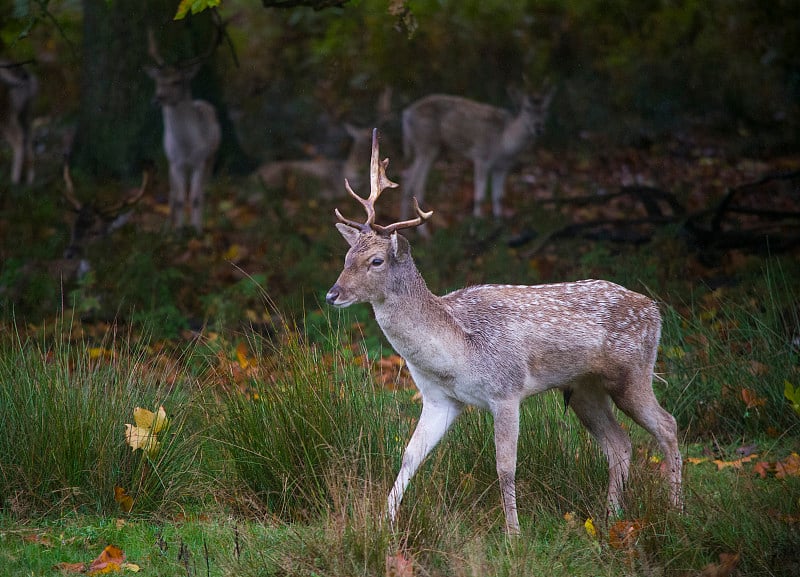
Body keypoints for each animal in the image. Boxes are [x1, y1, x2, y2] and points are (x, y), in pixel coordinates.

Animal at [145, 29, 220, 232]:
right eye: (157, 81)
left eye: (177, 81)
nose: (157, 99)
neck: (186, 146)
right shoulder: (175, 163)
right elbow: (179, 199)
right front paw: (178, 231)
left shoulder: (200, 161)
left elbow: (195, 198)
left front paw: (197, 231)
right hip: (172, 164)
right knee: (172, 194)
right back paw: (167, 228)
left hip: (210, 158)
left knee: (204, 191)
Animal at [324, 128, 680, 532]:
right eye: (347, 257)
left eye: (376, 261)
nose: (332, 294)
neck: (456, 352)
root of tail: (655, 309)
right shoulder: (439, 399)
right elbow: (409, 456)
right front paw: (384, 523)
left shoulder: (506, 391)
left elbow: (505, 467)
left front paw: (514, 533)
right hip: (584, 388)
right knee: (619, 442)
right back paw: (610, 517)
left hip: (633, 372)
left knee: (667, 426)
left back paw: (676, 510)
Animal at [398, 87, 552, 218]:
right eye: (527, 109)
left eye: (545, 109)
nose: (538, 127)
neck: (504, 144)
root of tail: (406, 114)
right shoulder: (481, 156)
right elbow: (480, 196)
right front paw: (476, 223)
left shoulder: (503, 167)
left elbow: (499, 197)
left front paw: (498, 222)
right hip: (427, 145)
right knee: (417, 186)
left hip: (434, 149)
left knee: (408, 180)